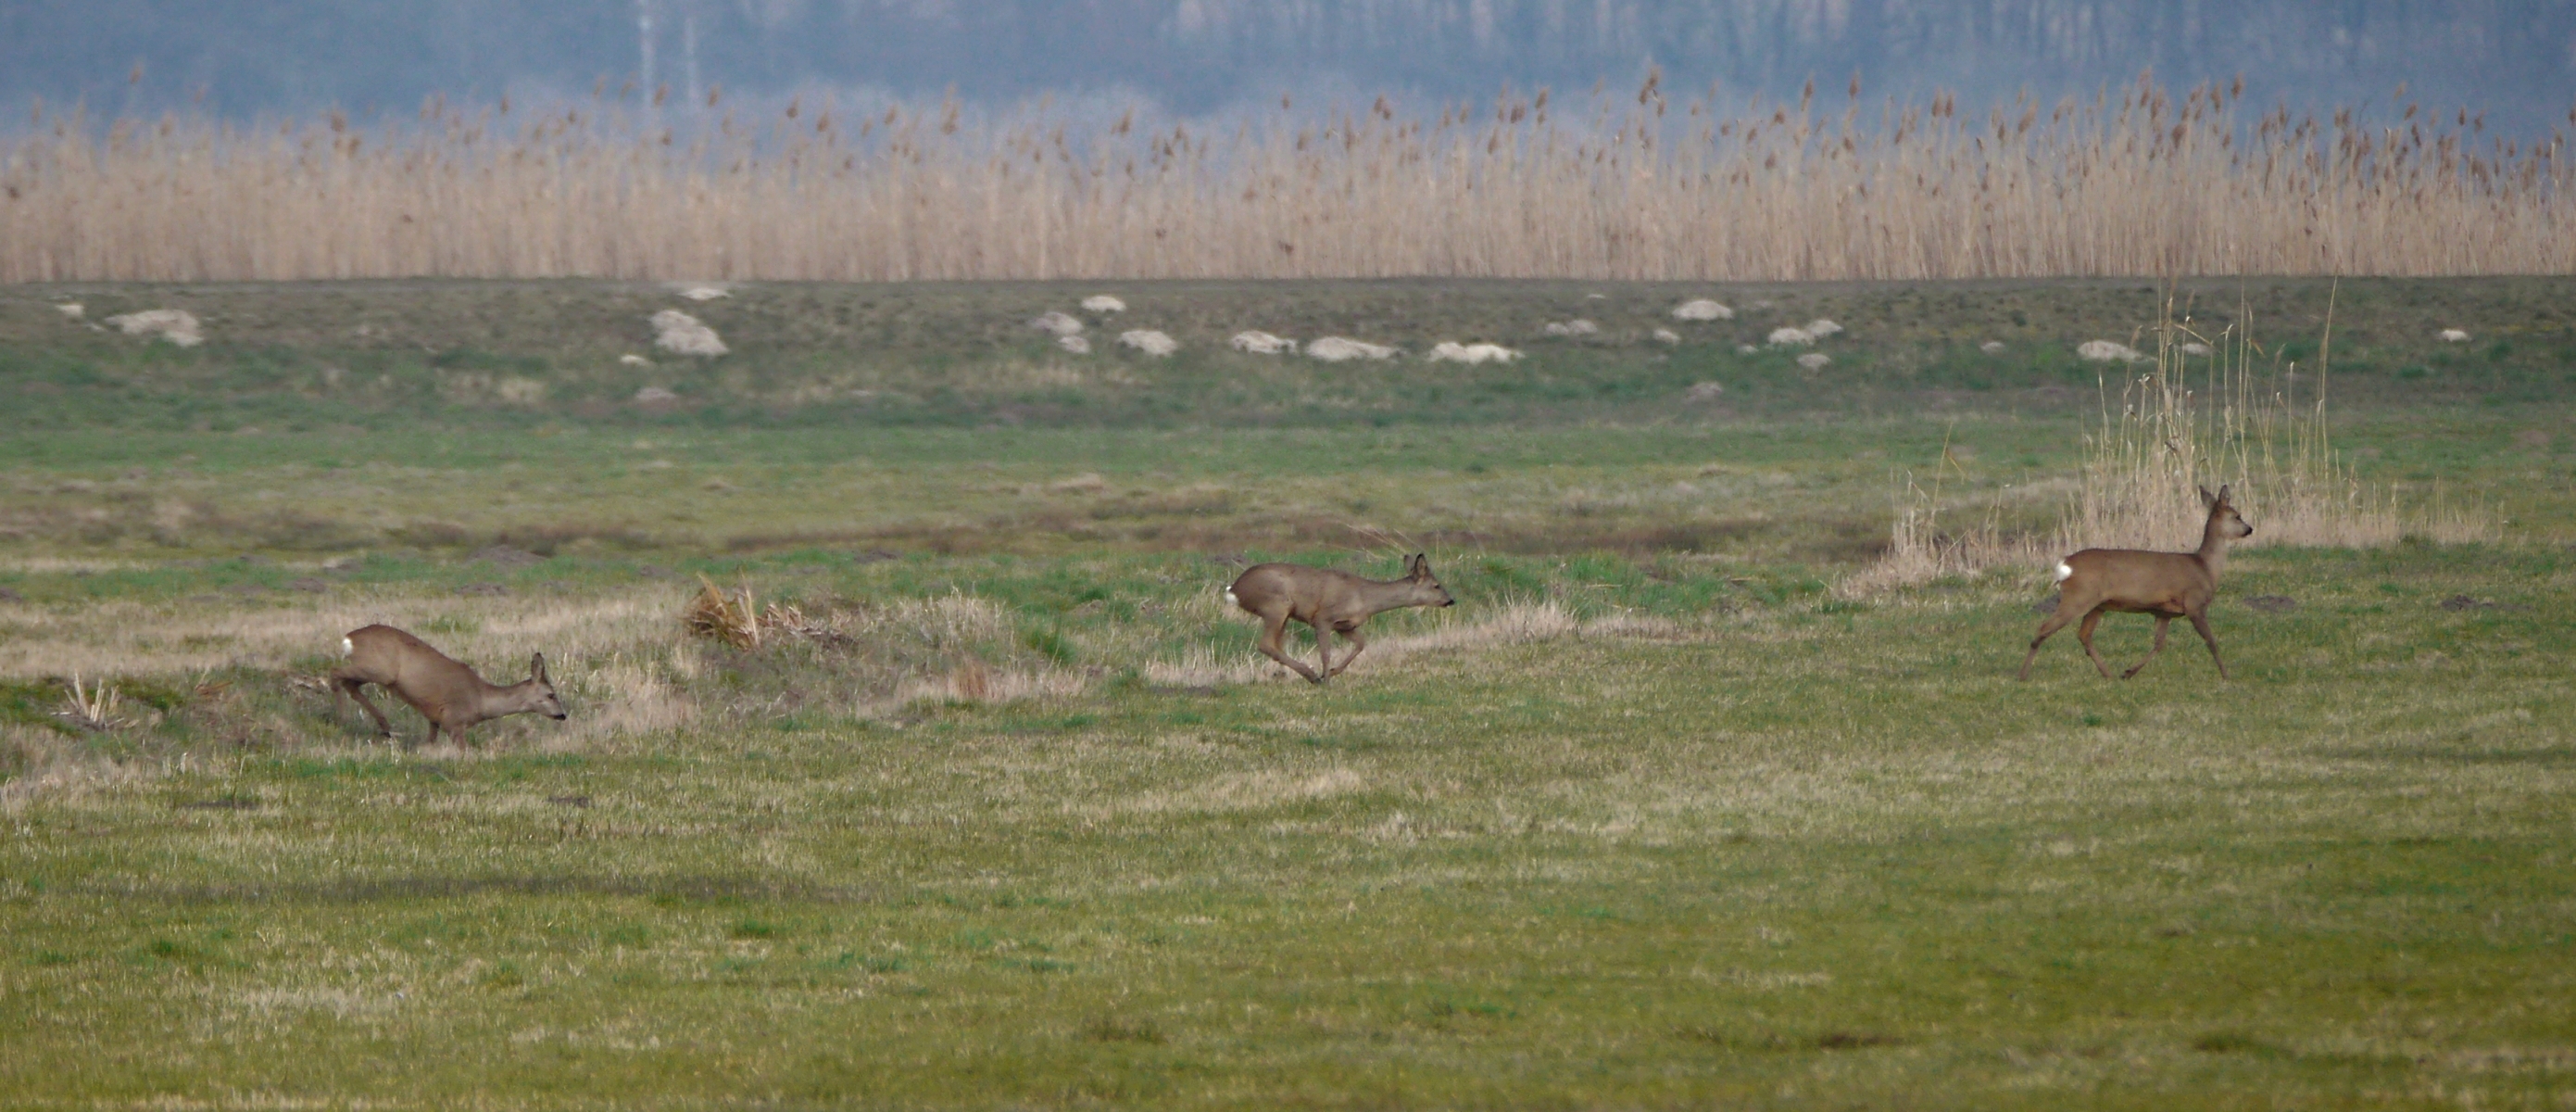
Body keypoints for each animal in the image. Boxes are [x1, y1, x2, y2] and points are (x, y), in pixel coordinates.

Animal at [332, 626, 569, 748]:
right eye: (551, 694)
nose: (562, 715)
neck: (481, 700)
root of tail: (349, 638)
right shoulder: (454, 721)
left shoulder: (434, 720)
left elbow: (428, 743)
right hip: (380, 669)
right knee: (335, 673)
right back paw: (342, 718)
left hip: (375, 671)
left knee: (350, 684)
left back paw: (385, 727)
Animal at [1221, 551, 1452, 681]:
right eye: (1436, 585)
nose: (1450, 600)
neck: (1364, 598)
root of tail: (1235, 589)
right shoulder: (1323, 618)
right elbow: (1326, 652)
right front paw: (1326, 678)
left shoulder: (1345, 625)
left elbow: (1360, 644)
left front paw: (1331, 673)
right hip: (1276, 604)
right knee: (1266, 644)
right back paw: (1312, 676)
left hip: (1283, 613)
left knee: (1276, 645)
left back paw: (1304, 675)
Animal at [2009, 485, 2256, 681]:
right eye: (2237, 515)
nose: (2249, 529)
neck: (2205, 567)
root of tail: (2065, 563)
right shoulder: (2194, 603)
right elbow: (2211, 640)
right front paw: (2226, 675)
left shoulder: (2163, 611)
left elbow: (2159, 644)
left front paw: (2128, 672)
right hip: (2079, 596)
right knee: (2044, 628)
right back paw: (2022, 675)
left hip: (2098, 604)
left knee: (2084, 635)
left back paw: (2108, 674)